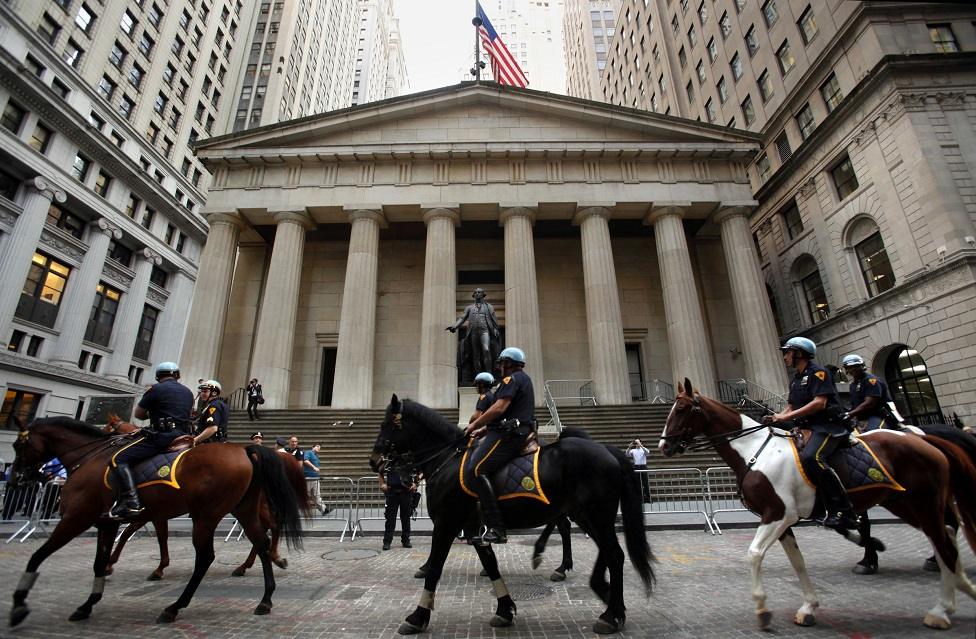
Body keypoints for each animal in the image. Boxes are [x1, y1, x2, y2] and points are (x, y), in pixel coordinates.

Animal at [103, 416, 294, 580]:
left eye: (109, 428)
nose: (108, 444)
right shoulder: (153, 512)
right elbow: (144, 533)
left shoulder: (150, 511)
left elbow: (133, 532)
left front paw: (111, 564)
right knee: (267, 528)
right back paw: (259, 562)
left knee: (269, 527)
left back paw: (266, 559)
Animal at [370, 396, 652, 636]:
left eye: (385, 425)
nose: (374, 462)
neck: (447, 460)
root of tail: (607, 450)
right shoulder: (474, 528)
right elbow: (491, 565)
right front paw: (505, 610)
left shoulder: (446, 524)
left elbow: (435, 570)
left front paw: (417, 617)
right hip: (585, 515)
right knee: (602, 547)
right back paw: (605, 596)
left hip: (596, 514)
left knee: (613, 553)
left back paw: (610, 613)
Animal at [656, 380, 976, 632]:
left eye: (681, 409)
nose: (663, 446)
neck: (754, 450)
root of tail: (925, 439)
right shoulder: (780, 519)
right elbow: (798, 561)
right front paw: (807, 606)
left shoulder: (778, 514)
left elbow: (754, 553)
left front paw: (763, 608)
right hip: (903, 502)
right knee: (945, 536)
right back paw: (956, 590)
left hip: (922, 501)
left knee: (945, 543)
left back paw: (942, 607)